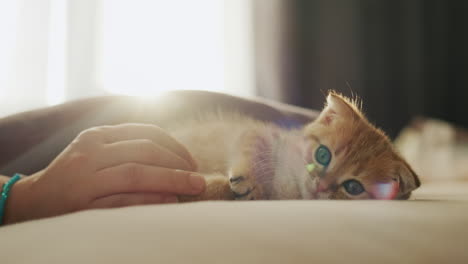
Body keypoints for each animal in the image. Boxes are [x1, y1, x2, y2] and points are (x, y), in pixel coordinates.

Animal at [172, 92, 420, 201]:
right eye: (323, 155)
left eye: (353, 187)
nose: (321, 186)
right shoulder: (257, 132)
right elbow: (252, 145)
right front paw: (248, 179)